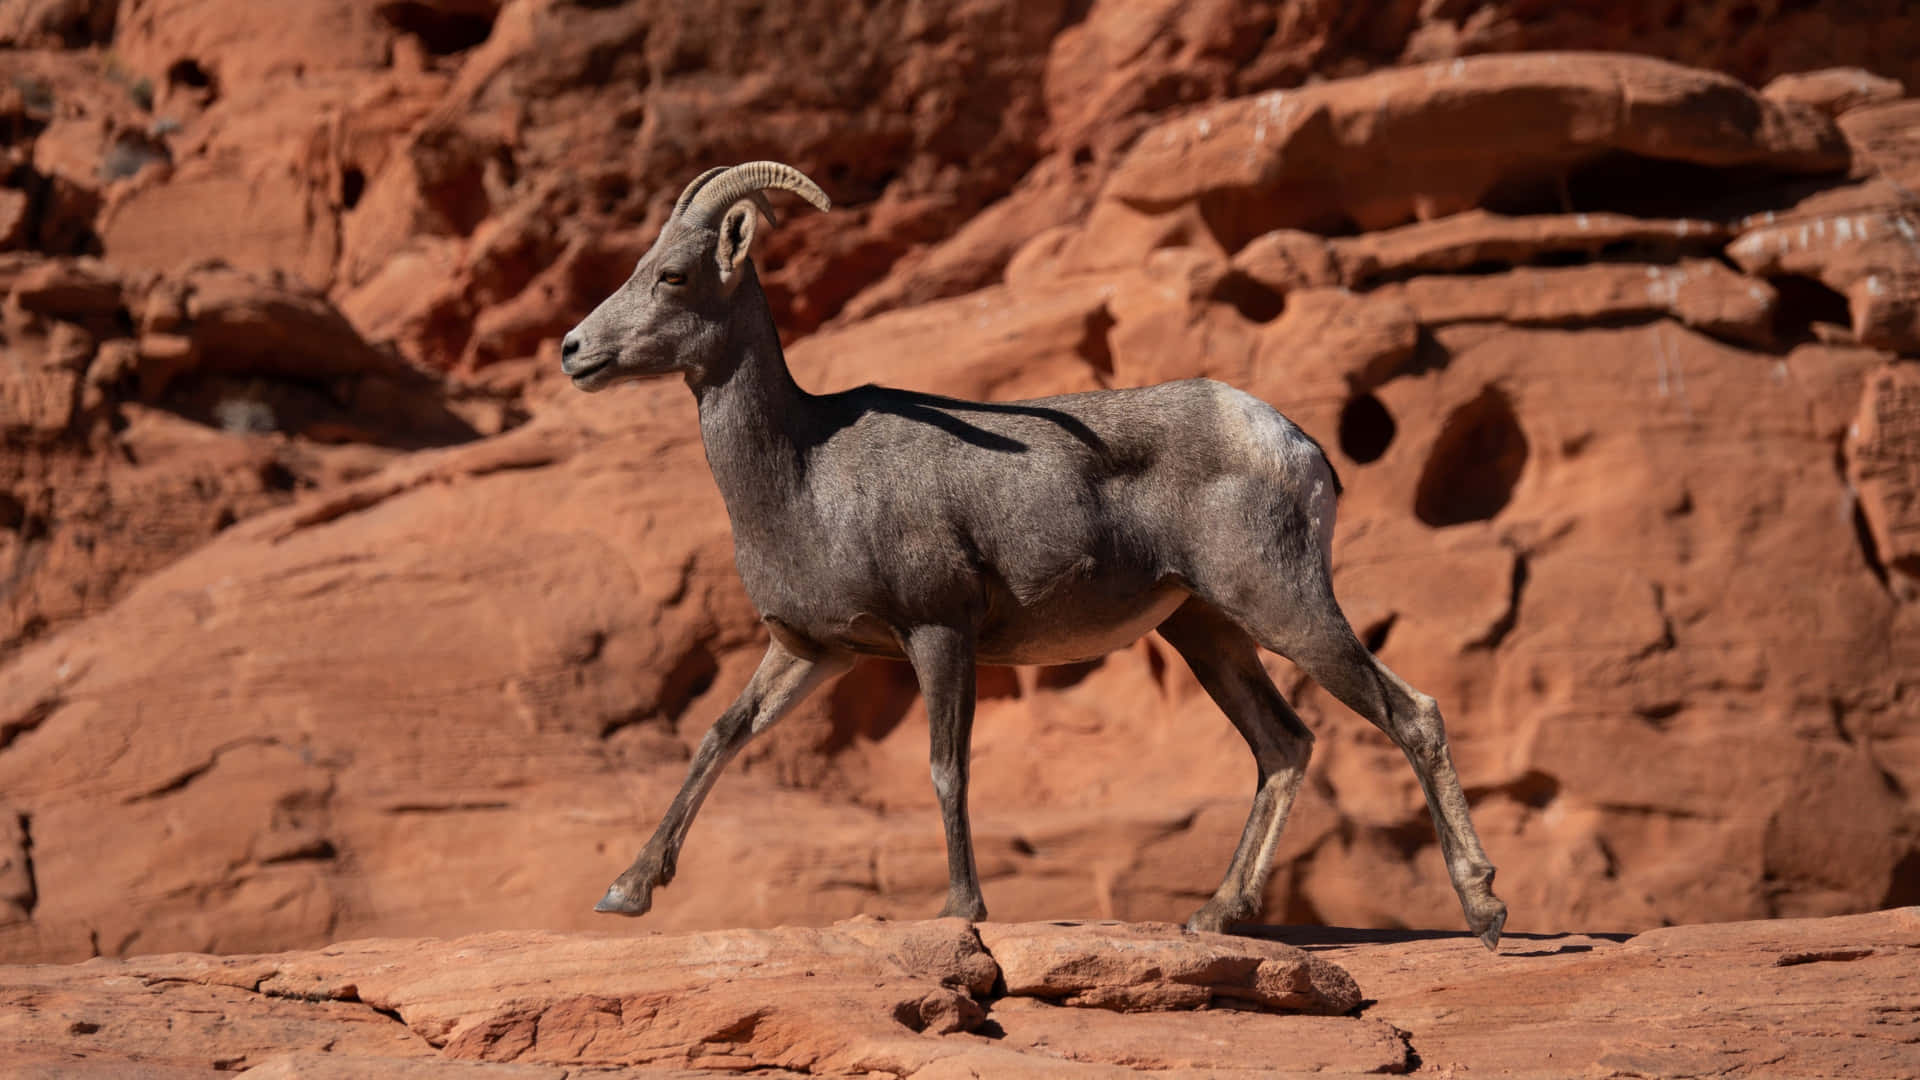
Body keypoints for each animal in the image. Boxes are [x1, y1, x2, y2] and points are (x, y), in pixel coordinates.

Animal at [560, 159, 1505, 941]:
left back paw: (1485, 909)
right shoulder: (815, 651)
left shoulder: (938, 633)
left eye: (674, 274)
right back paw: (1216, 914)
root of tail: (1296, 443)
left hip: (1285, 606)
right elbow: (719, 735)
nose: (574, 351)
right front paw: (626, 891)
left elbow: (946, 766)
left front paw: (961, 909)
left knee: (1410, 714)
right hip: (1206, 630)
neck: (803, 472)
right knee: (1284, 746)